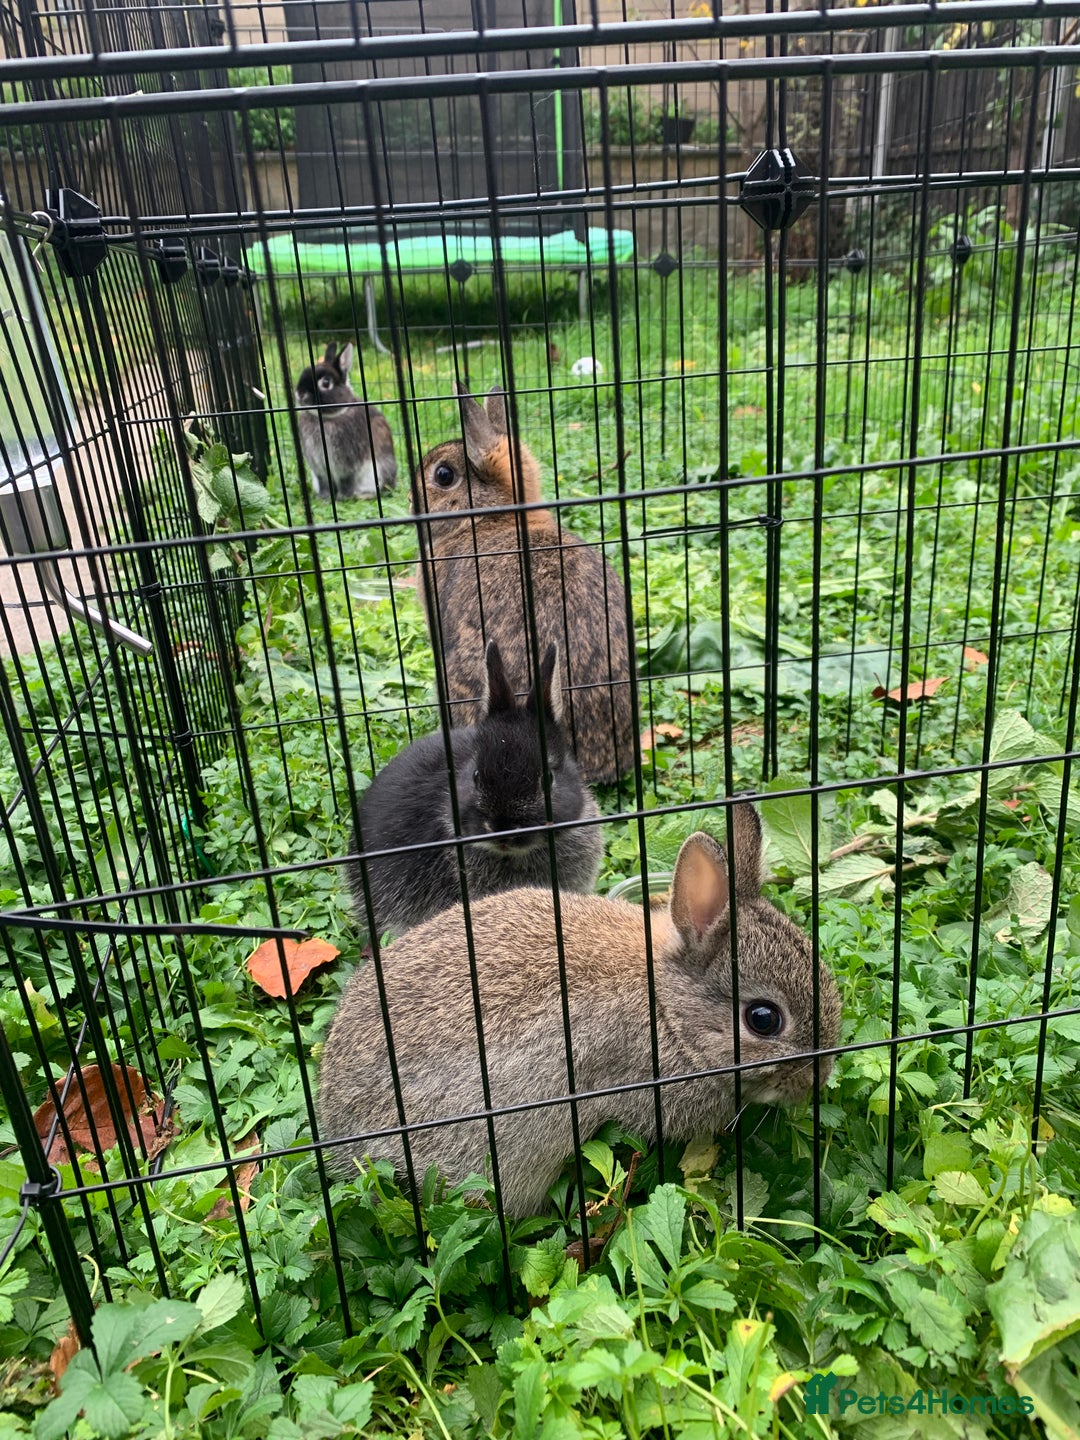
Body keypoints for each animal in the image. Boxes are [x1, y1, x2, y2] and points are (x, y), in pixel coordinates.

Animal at [295, 341, 397, 499]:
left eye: (326, 383)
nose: (300, 393)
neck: (327, 418)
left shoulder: (346, 463)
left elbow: (346, 480)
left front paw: (342, 498)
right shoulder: (318, 467)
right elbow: (324, 481)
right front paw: (323, 498)